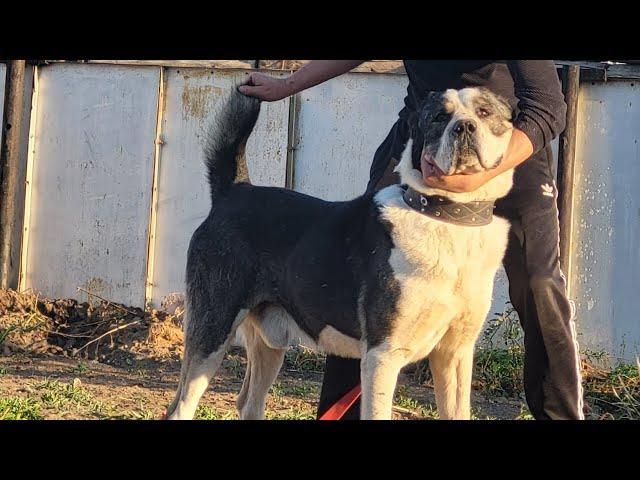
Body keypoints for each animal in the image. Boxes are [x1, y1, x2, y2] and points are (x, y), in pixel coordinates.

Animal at [166, 86, 516, 420]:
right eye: (439, 118)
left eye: (484, 112)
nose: (464, 127)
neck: (445, 216)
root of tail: (234, 191)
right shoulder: (382, 354)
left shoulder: (454, 354)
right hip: (212, 330)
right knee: (180, 408)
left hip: (269, 342)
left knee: (248, 404)